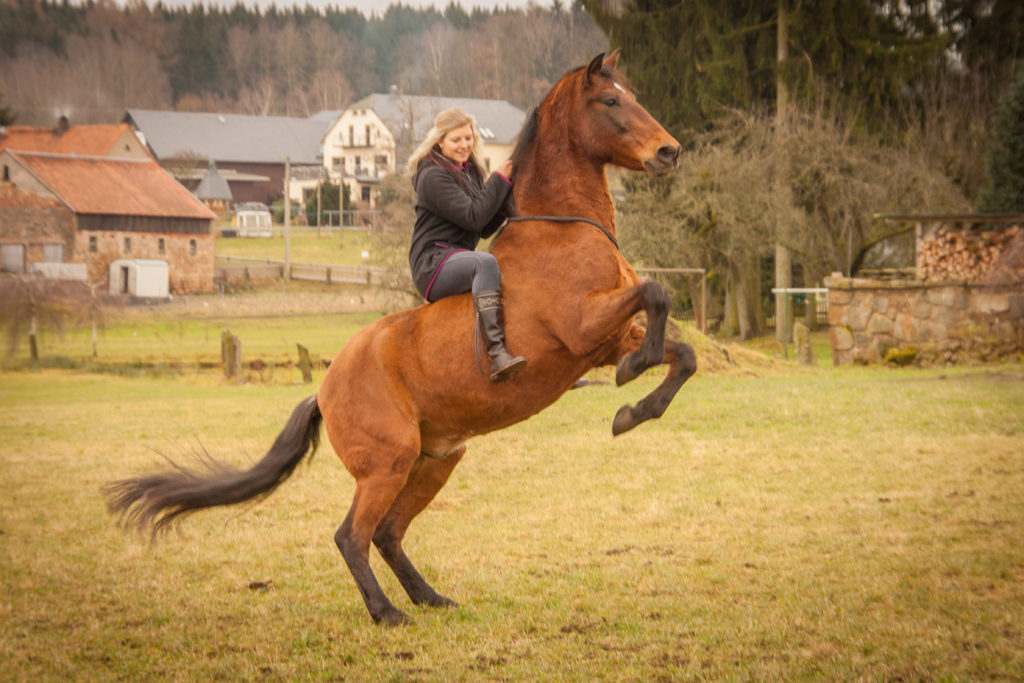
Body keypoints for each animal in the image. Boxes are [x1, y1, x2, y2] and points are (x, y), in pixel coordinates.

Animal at [105, 52, 696, 630]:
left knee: (388, 533)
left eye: (631, 95)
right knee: (352, 535)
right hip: (388, 463)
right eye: (611, 101)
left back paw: (430, 598)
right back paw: (387, 613)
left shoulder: (607, 337)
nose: (670, 151)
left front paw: (634, 409)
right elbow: (657, 292)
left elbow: (681, 351)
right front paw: (634, 377)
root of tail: (324, 391)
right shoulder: (583, 326)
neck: (561, 225)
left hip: (435, 460)